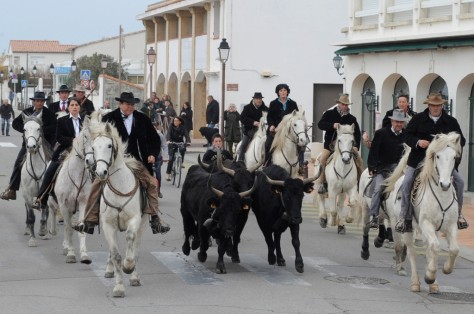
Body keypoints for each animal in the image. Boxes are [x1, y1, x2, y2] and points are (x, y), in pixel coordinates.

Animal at [47, 114, 96, 262]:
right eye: (85, 136)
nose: (91, 161)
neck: (76, 175)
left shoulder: (83, 203)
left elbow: (80, 229)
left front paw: (84, 255)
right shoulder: (64, 204)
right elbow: (68, 229)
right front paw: (71, 254)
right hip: (52, 200)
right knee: (52, 210)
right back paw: (53, 231)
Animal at [89, 121, 147, 298]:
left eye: (109, 145)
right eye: (93, 147)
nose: (101, 172)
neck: (120, 187)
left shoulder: (135, 220)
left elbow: (130, 240)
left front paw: (128, 266)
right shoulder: (108, 225)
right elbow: (115, 255)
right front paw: (119, 287)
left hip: (143, 224)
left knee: (136, 246)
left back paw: (134, 276)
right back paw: (109, 270)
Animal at [386, 132, 462, 292]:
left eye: (454, 157)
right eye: (437, 156)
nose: (445, 184)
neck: (441, 195)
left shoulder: (451, 225)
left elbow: (453, 249)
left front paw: (445, 270)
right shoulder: (426, 223)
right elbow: (435, 247)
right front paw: (429, 276)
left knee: (428, 250)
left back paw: (434, 285)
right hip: (406, 228)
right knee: (412, 252)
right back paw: (415, 282)